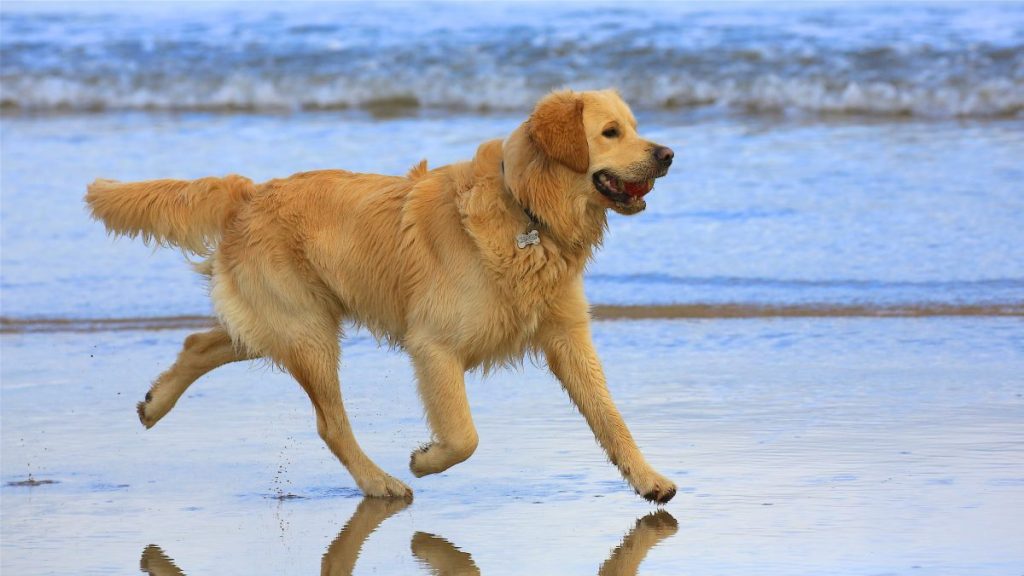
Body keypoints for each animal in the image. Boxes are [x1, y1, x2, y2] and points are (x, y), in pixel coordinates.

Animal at [88, 87, 675, 500]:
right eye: (610, 132)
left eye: (634, 128)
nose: (668, 153)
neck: (526, 212)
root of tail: (250, 193)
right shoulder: (433, 345)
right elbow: (464, 436)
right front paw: (424, 459)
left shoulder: (567, 336)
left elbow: (610, 417)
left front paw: (649, 479)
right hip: (308, 332)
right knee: (330, 423)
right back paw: (380, 483)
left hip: (283, 321)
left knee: (201, 342)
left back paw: (154, 403)